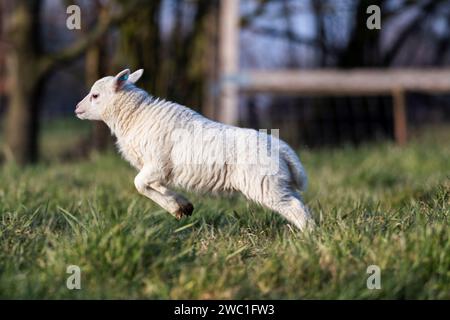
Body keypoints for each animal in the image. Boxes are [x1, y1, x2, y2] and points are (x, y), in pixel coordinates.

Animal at [74, 69, 312, 230]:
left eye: (95, 96)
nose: (77, 108)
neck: (136, 116)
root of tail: (281, 147)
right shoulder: (160, 170)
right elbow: (155, 186)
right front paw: (182, 206)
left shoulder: (158, 164)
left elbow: (139, 184)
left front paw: (174, 208)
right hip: (278, 183)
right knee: (299, 204)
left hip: (264, 184)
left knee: (294, 208)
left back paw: (308, 239)